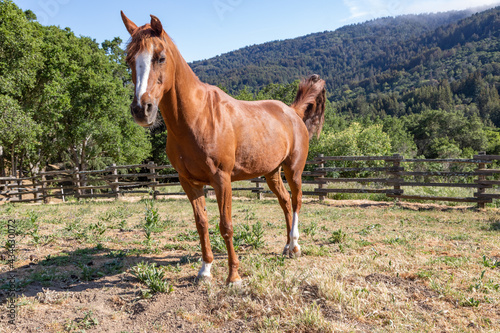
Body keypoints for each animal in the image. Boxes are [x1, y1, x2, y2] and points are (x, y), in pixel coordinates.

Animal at [119, 12, 326, 282]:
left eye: (160, 57)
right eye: (129, 60)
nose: (141, 110)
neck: (197, 117)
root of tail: (292, 112)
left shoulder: (222, 179)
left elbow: (226, 225)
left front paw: (233, 276)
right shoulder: (189, 182)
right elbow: (202, 224)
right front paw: (205, 269)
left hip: (294, 170)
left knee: (297, 201)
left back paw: (295, 245)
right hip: (272, 173)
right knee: (285, 203)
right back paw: (289, 247)